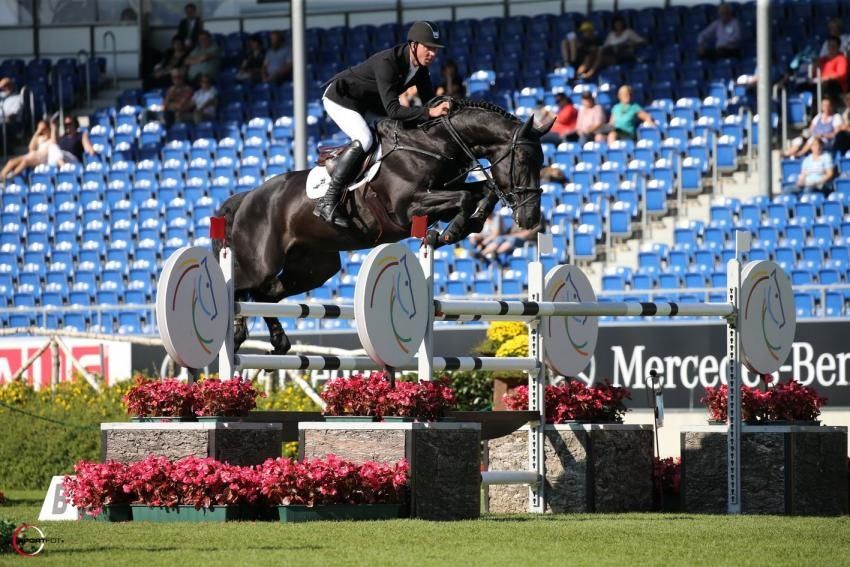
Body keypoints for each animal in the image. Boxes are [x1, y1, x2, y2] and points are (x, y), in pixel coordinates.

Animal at [214, 98, 554, 356]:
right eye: (524, 160)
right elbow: (465, 197)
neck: (435, 144)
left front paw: (465, 225)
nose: (530, 219)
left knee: (267, 293)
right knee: (244, 287)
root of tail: (247, 197)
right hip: (262, 262)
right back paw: (238, 333)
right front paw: (447, 233)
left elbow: (481, 192)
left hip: (315, 268)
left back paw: (277, 340)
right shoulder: (409, 208)